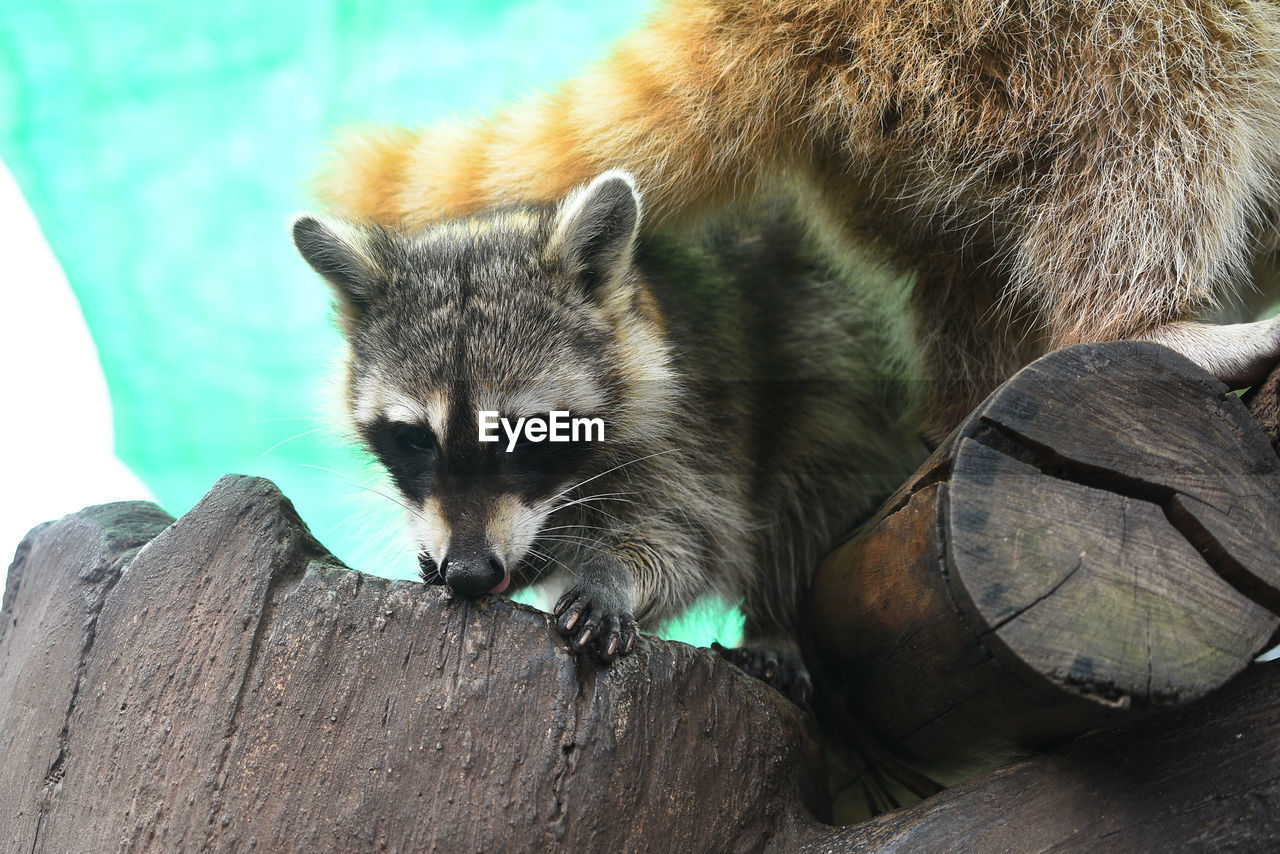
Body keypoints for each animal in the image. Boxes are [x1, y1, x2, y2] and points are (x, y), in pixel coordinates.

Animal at [293, 170, 926, 696]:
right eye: (418, 438)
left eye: (530, 430)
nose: (470, 574)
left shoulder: (695, 434)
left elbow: (694, 543)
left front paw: (614, 570)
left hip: (835, 343)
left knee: (810, 472)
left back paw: (777, 622)